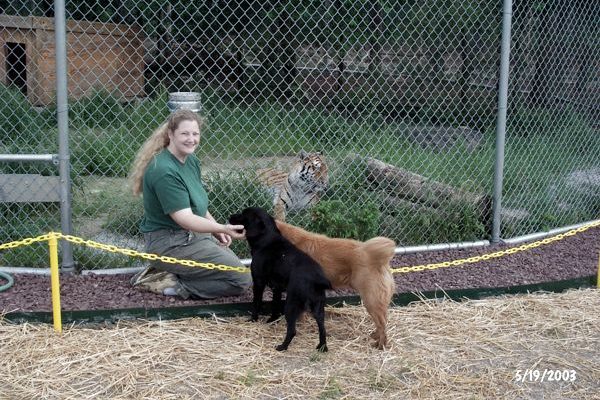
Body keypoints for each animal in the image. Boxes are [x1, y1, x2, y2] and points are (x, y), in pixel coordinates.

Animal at [230, 208, 332, 352]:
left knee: (292, 330)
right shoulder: (276, 287)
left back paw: (282, 347)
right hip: (318, 308)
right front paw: (272, 320)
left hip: (291, 304)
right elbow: (275, 305)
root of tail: (316, 278)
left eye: (244, 215)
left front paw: (253, 319)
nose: (230, 216)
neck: (267, 239)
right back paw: (322, 347)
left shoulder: (259, 282)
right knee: (323, 329)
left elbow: (256, 303)